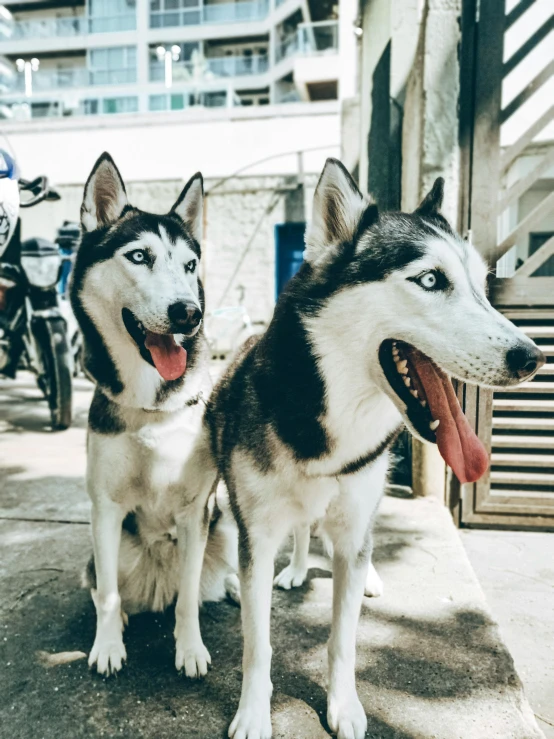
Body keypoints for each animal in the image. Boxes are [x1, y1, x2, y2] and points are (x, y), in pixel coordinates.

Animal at [69, 155, 237, 684]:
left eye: (190, 265)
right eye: (139, 256)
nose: (189, 312)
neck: (153, 406)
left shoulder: (194, 511)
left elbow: (188, 599)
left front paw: (190, 648)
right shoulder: (105, 508)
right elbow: (106, 592)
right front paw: (107, 645)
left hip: (223, 521)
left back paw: (229, 586)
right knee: (100, 582)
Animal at [178, 158, 544, 739]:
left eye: (483, 286)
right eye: (431, 280)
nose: (532, 357)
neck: (327, 420)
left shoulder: (351, 528)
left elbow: (344, 639)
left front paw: (344, 705)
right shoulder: (257, 535)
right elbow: (259, 644)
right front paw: (254, 712)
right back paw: (295, 569)